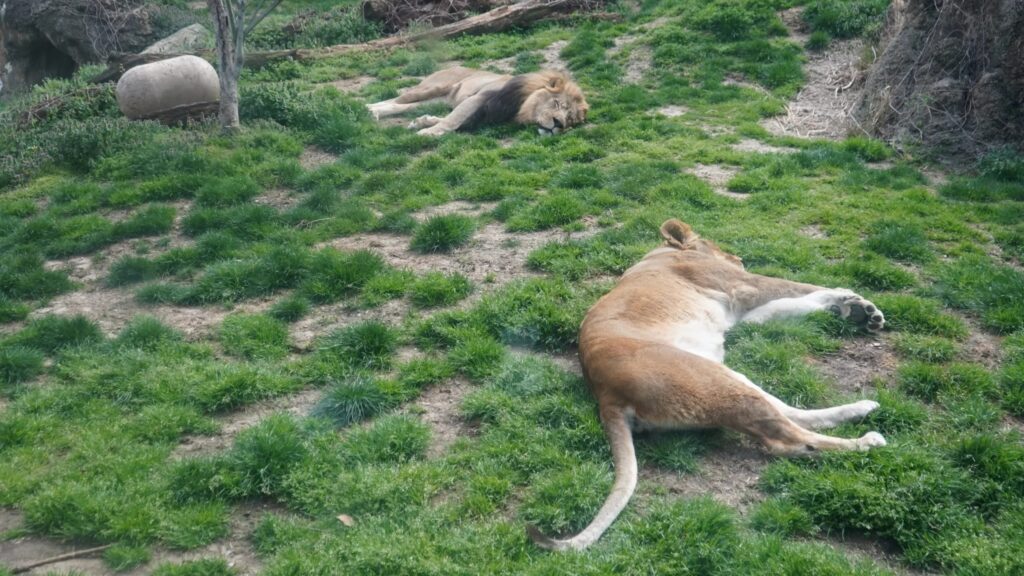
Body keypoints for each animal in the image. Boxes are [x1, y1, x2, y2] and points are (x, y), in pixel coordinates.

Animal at [366, 66, 589, 136]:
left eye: (570, 120)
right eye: (557, 104)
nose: (559, 124)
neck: (520, 107)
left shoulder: (479, 115)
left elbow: (453, 120)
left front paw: (423, 123)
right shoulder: (479, 98)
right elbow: (452, 120)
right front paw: (427, 133)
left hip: (437, 99)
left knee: (399, 106)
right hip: (429, 89)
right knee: (395, 98)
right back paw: (368, 109)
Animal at [528, 219, 888, 552]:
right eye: (718, 246)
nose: (740, 257)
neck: (661, 253)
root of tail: (606, 395)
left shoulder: (745, 312)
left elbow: (793, 303)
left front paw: (854, 310)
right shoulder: (743, 285)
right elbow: (799, 286)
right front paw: (850, 299)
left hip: (727, 376)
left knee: (790, 414)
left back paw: (862, 407)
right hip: (714, 381)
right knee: (787, 440)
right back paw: (866, 441)